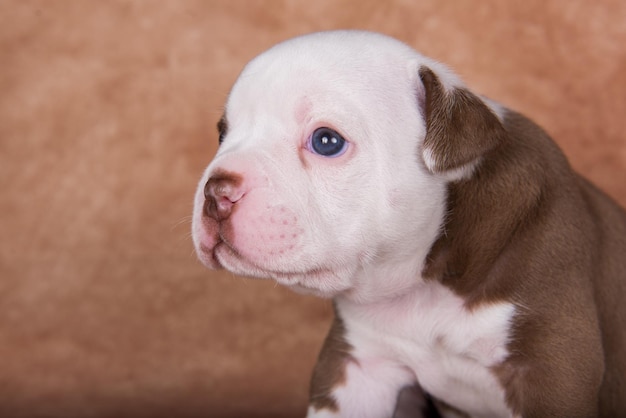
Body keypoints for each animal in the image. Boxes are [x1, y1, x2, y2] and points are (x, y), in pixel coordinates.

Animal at [191, 31, 624, 416]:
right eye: (222, 133)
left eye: (326, 141)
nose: (216, 191)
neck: (427, 281)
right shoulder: (358, 365)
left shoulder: (552, 370)